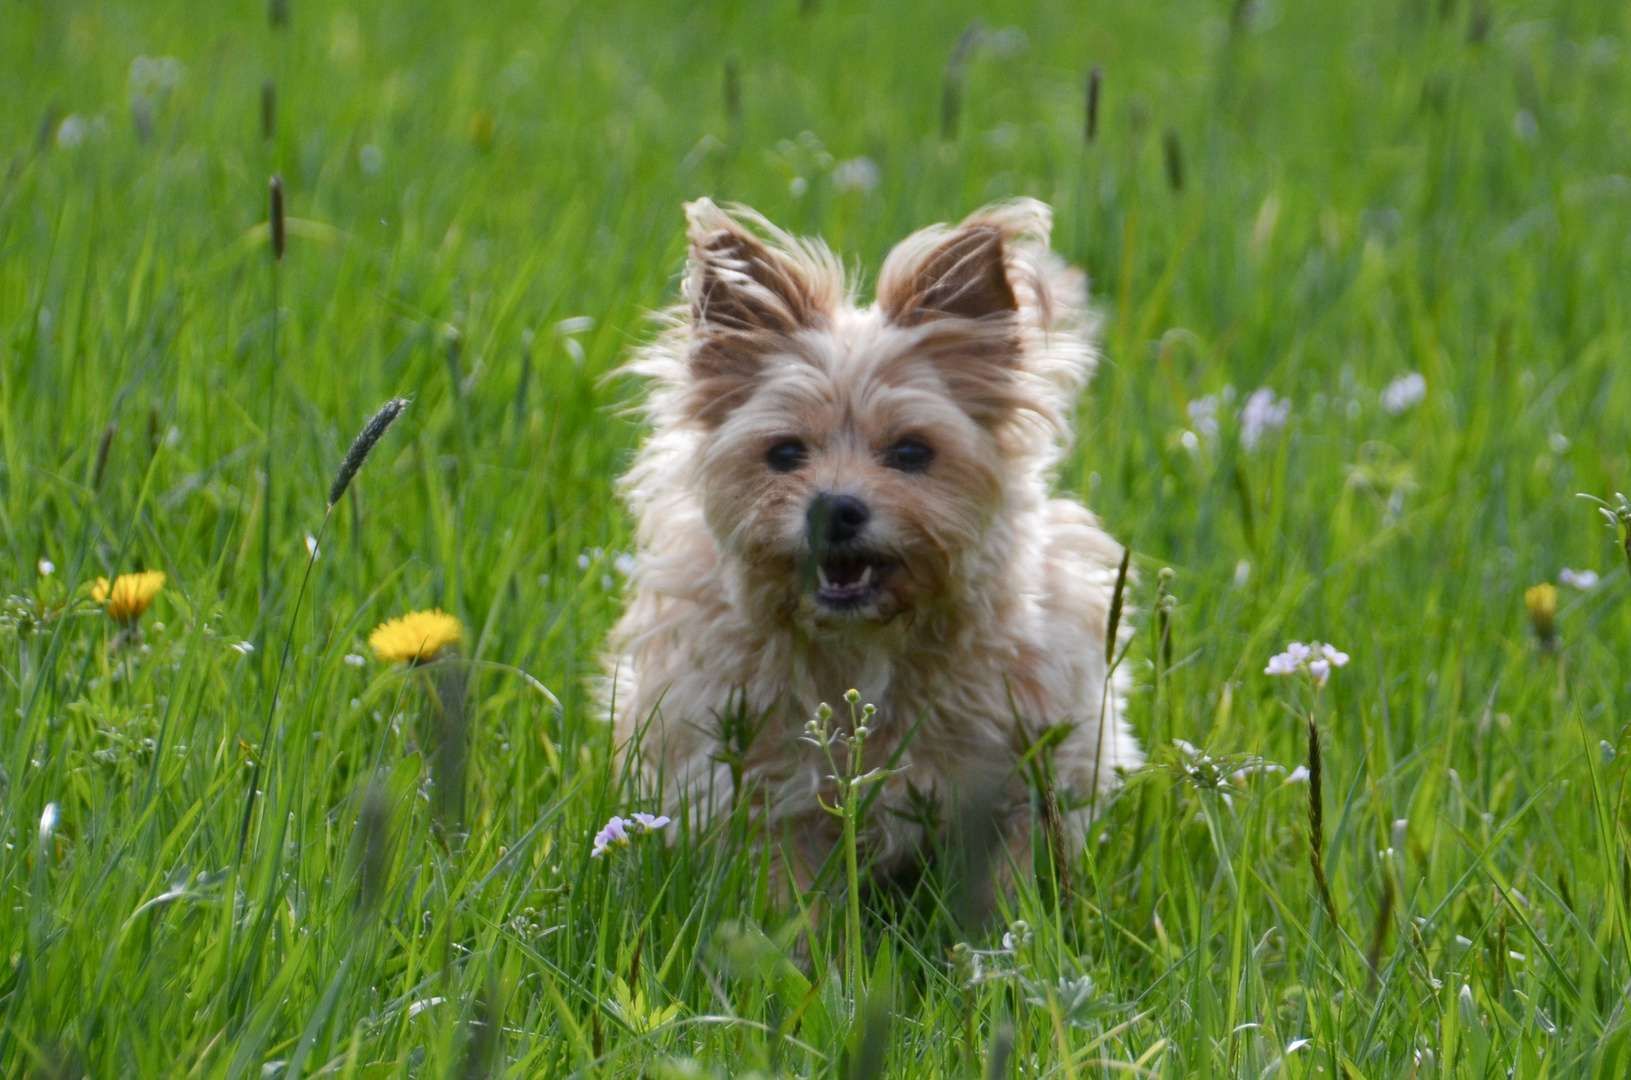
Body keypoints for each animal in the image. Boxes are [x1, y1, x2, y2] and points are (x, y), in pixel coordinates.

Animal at [603, 196, 1148, 894]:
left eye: (912, 452)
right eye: (784, 453)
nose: (834, 508)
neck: (867, 646)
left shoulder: (1037, 778)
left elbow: (1018, 885)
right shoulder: (756, 796)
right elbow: (787, 903)